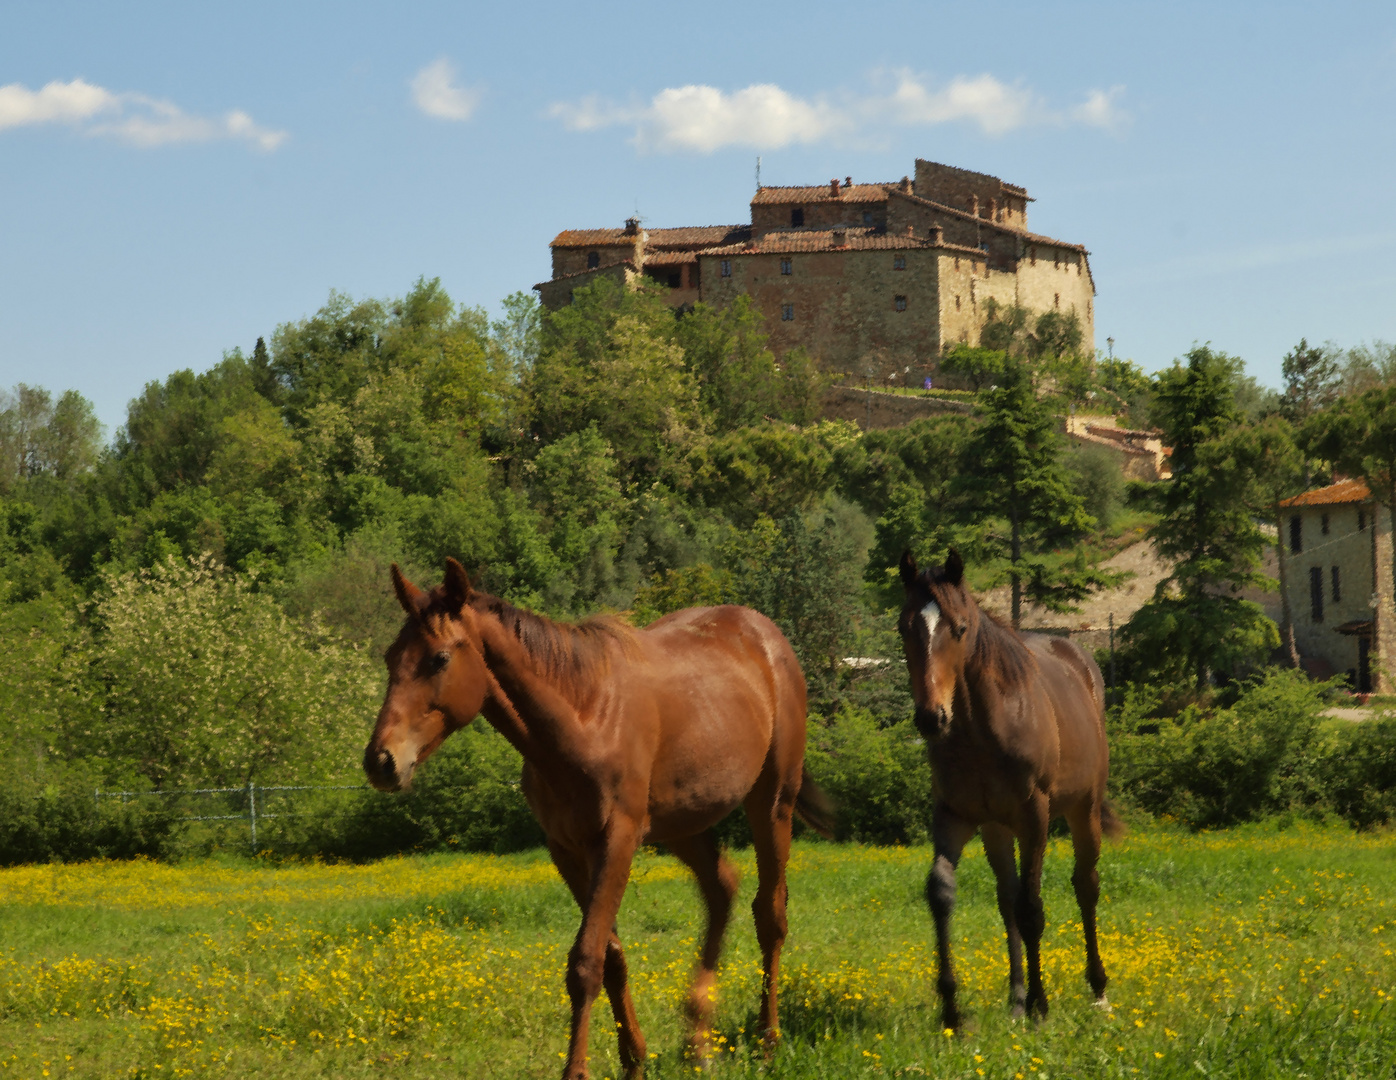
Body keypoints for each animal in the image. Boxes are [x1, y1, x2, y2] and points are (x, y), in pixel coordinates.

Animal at [365, 563, 832, 1077]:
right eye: (391, 657)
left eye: (440, 658)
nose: (381, 761)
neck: (585, 716)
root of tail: (765, 634)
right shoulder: (568, 850)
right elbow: (611, 956)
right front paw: (634, 1060)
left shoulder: (617, 840)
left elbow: (585, 962)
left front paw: (577, 1069)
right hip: (683, 825)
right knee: (721, 890)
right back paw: (697, 1040)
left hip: (772, 803)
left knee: (770, 913)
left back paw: (768, 1040)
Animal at [899, 549, 1116, 1032]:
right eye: (904, 627)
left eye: (960, 628)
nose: (931, 718)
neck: (982, 730)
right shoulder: (955, 816)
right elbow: (941, 893)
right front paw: (952, 1009)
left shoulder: (1035, 816)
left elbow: (1031, 908)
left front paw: (1041, 1005)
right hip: (996, 829)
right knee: (1006, 897)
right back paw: (1016, 999)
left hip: (1084, 811)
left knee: (1085, 886)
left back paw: (1097, 989)